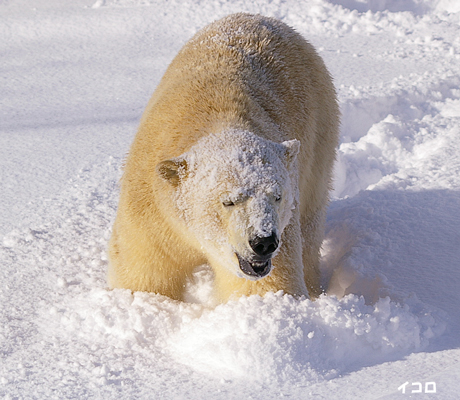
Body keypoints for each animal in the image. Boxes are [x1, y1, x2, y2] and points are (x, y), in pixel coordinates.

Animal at [107, 12, 338, 302]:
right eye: (228, 201)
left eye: (277, 196)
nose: (263, 242)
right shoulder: (152, 209)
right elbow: (146, 273)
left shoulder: (281, 231)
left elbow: (266, 285)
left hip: (319, 135)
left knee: (310, 223)